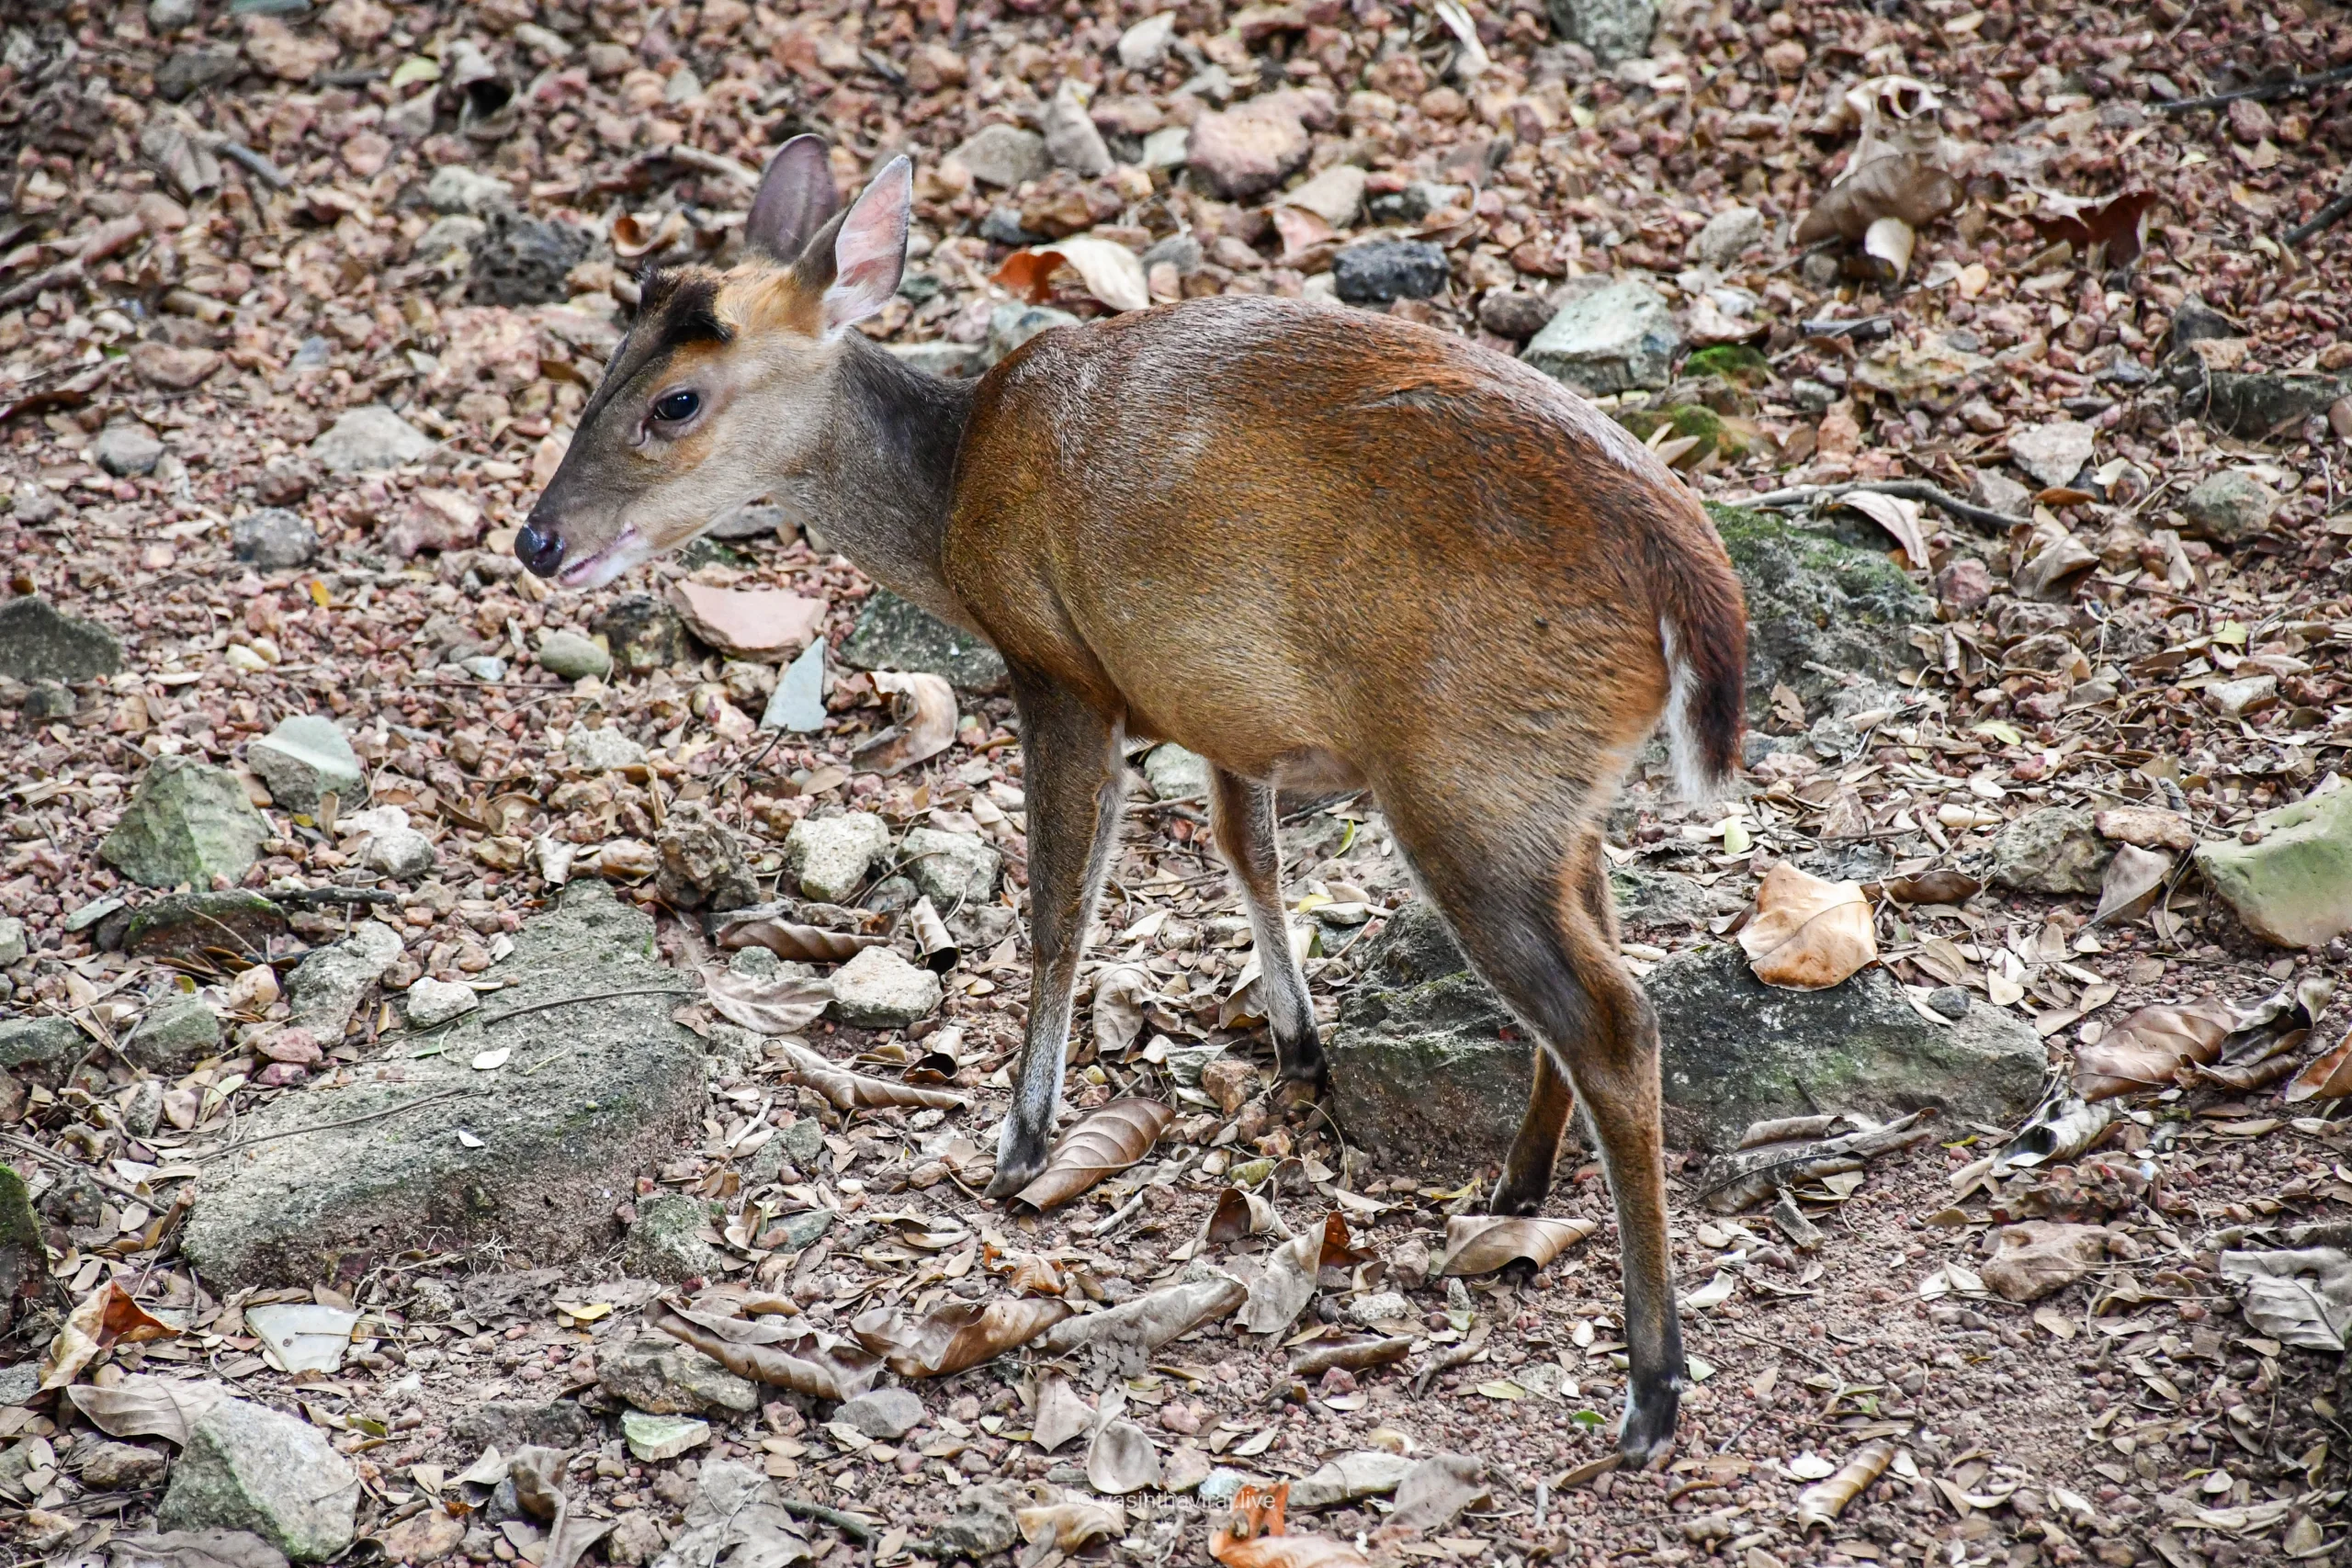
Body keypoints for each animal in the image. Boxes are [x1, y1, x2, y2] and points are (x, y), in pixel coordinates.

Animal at [517, 136, 1747, 1465]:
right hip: (1548, 782)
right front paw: (1298, 1042)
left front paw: (1022, 1138)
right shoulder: (1225, 701)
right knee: (1602, 951)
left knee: (1612, 1017)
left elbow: (1060, 904)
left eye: (676, 402)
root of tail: (1691, 579)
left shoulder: (1057, 662)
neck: (951, 503)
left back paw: (1651, 1386)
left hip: (1464, 771)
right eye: (606, 370)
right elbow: (1245, 847)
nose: (538, 541)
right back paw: (1516, 1187)